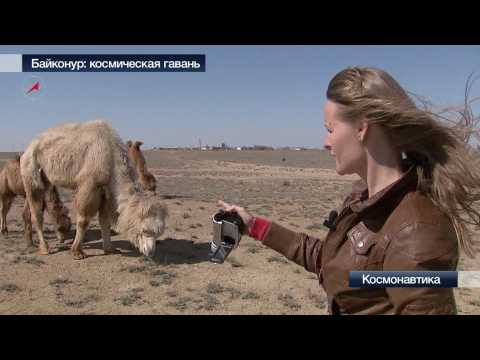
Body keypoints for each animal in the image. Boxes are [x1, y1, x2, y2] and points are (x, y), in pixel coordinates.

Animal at [20, 120, 169, 258]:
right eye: (144, 230)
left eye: (159, 232)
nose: (150, 252)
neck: (111, 155)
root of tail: (28, 147)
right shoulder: (90, 184)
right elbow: (83, 220)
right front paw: (77, 252)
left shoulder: (105, 190)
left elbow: (105, 221)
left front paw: (110, 249)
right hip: (30, 170)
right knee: (36, 212)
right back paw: (44, 248)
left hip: (45, 177)